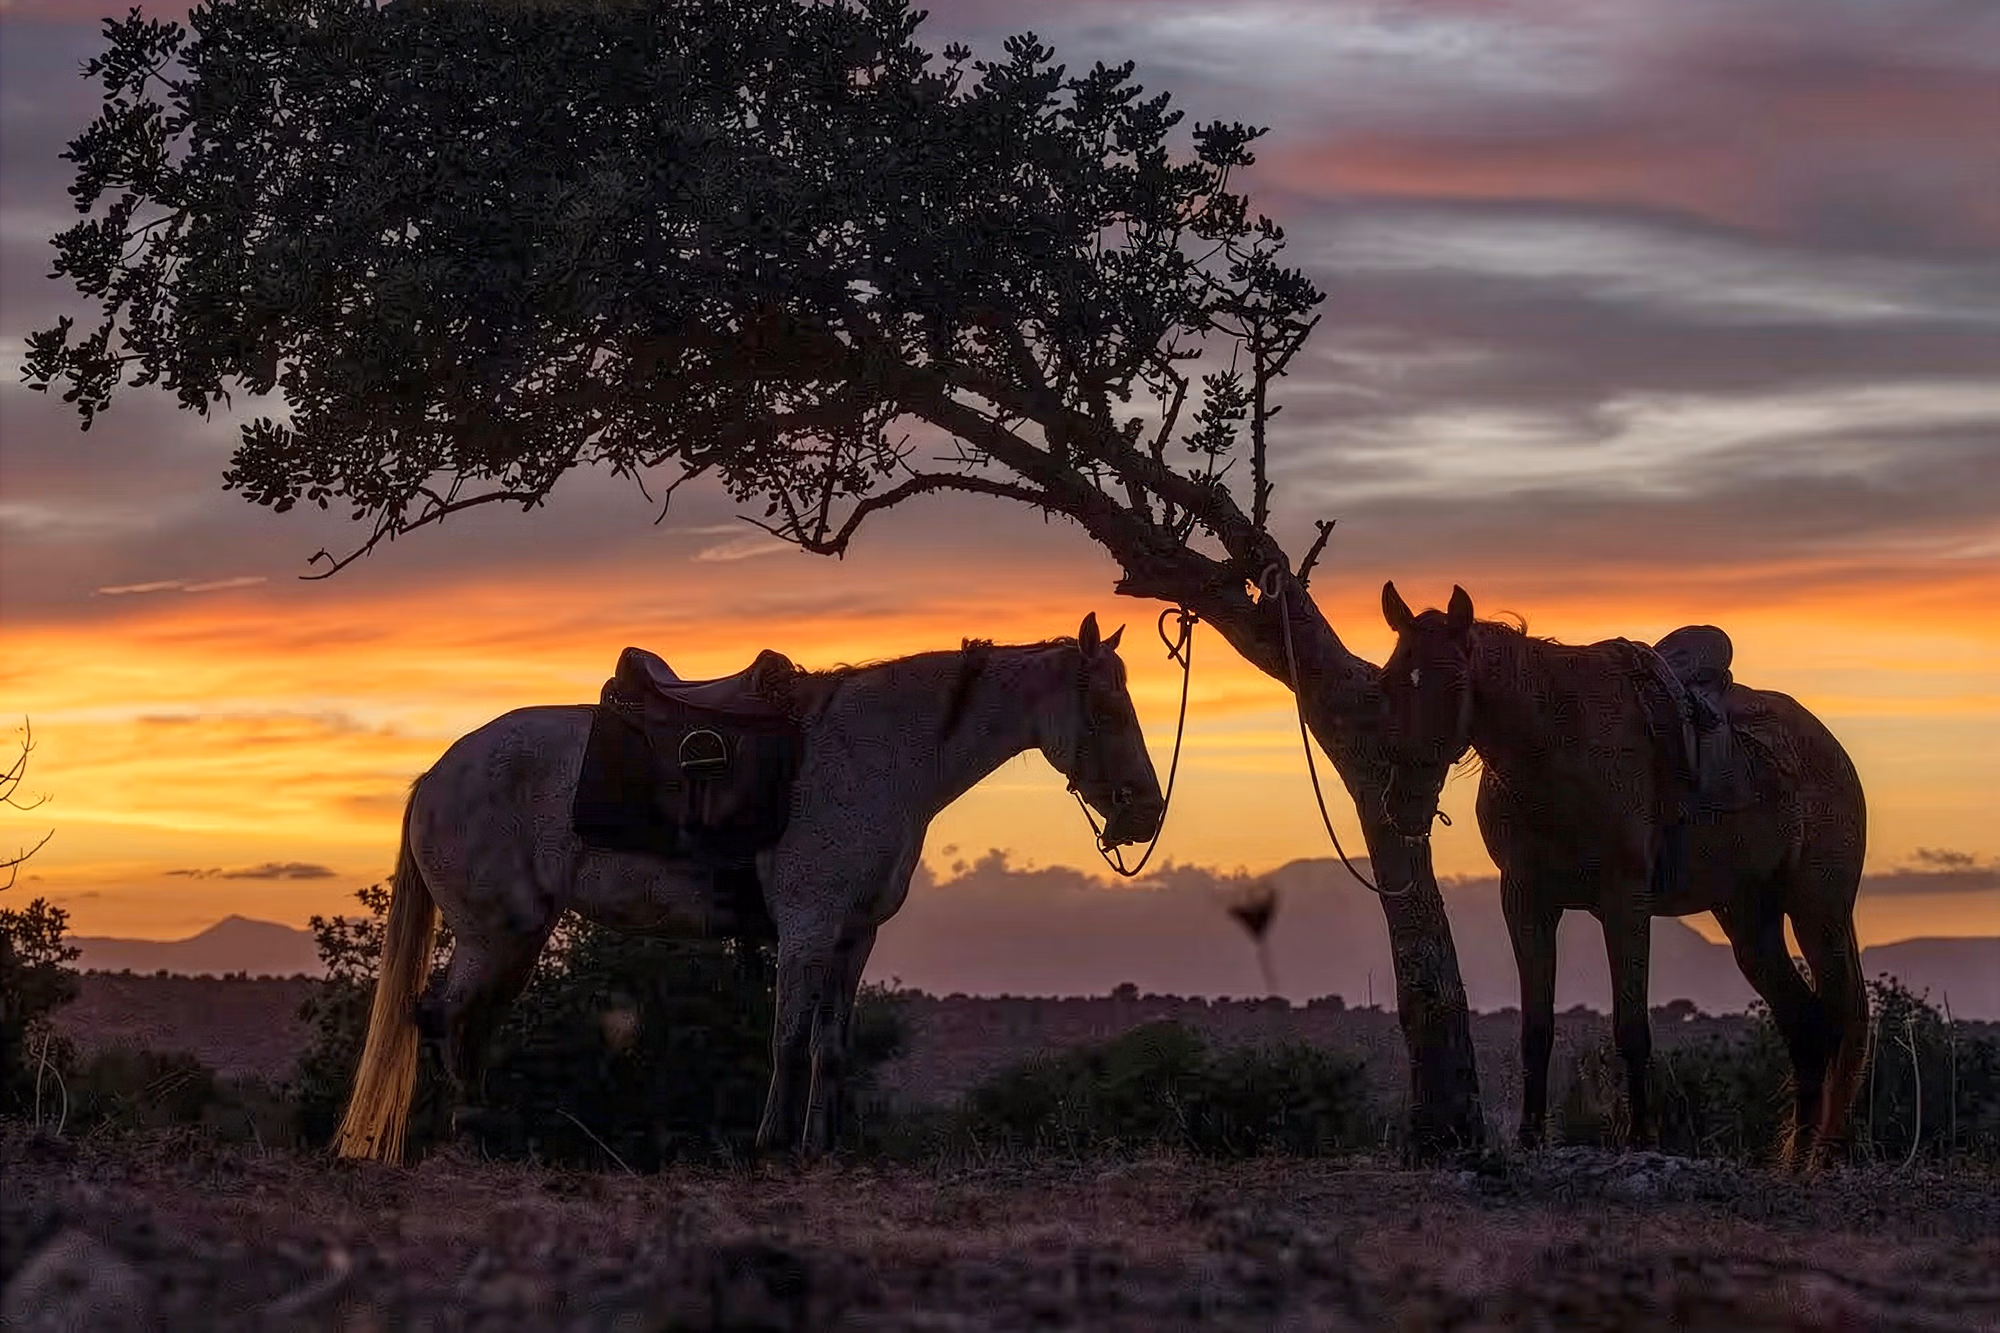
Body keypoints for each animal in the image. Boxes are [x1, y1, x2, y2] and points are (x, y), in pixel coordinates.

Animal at [335, 613, 1165, 1163]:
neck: (875, 752)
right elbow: (789, 1039)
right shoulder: (806, 929)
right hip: (493, 930)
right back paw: (463, 1135)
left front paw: (821, 1146)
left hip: (518, 935)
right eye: (1105, 706)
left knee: (468, 1021)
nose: (1147, 812)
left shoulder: (853, 937)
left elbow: (831, 1044)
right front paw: (771, 1144)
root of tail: (436, 775)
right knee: (443, 1015)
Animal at [1373, 583, 1869, 1166]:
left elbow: (1632, 1026)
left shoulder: (1625, 901)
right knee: (1806, 1025)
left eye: (1454, 683)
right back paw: (1795, 1162)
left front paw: (1639, 1141)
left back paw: (1825, 1155)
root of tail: (1829, 749)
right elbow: (1536, 1028)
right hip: (1749, 920)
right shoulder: (1525, 899)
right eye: (1387, 680)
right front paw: (1529, 1139)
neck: (1557, 742)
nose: (1403, 805)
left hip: (1820, 912)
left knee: (1842, 1018)